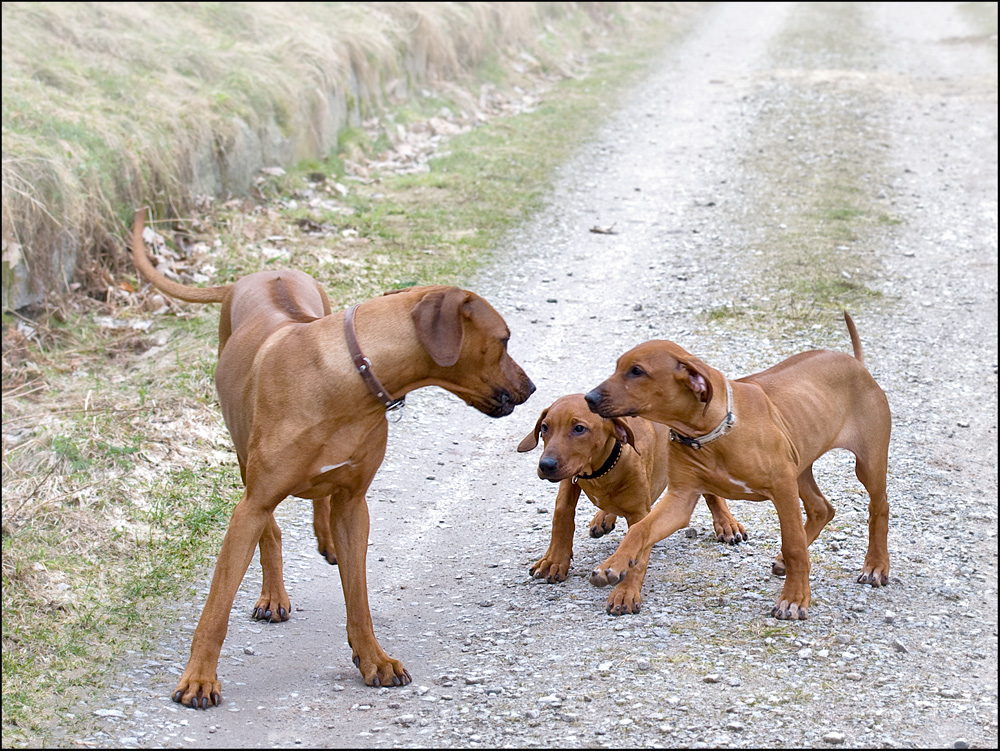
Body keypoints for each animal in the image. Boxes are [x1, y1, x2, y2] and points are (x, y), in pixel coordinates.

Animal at [133, 209, 540, 708]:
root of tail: (253, 275)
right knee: (270, 532)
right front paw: (199, 678)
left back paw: (323, 536)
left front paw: (373, 659)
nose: (531, 388)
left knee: (318, 503)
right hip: (244, 459)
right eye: (504, 340)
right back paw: (273, 595)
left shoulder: (354, 505)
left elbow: (358, 596)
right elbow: (216, 607)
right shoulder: (251, 505)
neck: (348, 378)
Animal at [520, 396, 748, 612]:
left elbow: (636, 549)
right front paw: (554, 561)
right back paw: (603, 517)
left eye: (579, 428)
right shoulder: (571, 478)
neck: (601, 470)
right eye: (544, 427)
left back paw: (727, 523)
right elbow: (562, 512)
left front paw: (625, 593)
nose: (546, 465)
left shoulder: (640, 514)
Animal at [584, 312, 892, 624]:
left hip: (867, 463)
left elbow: (794, 545)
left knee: (878, 506)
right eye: (618, 367)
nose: (589, 398)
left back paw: (876, 566)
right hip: (800, 464)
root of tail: (856, 363)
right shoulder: (681, 498)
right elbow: (640, 529)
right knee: (821, 509)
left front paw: (794, 599)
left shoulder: (782, 487)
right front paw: (614, 564)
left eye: (636, 371)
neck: (711, 432)